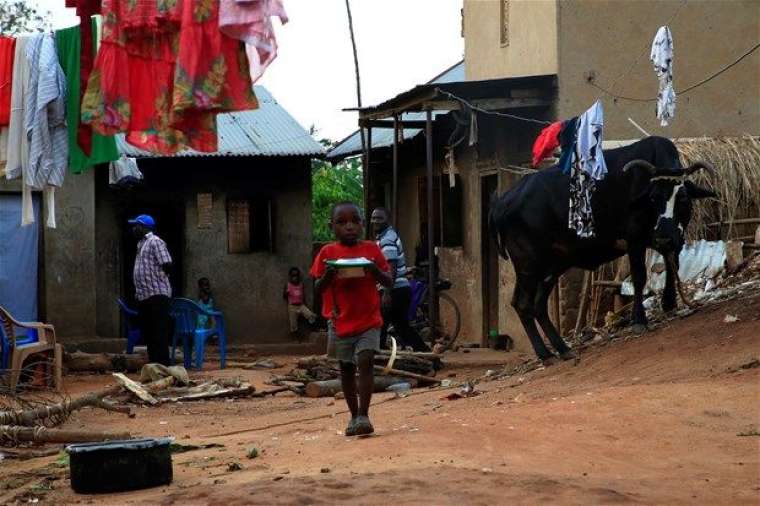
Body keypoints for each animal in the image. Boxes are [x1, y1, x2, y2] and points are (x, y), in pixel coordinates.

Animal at [490, 136, 716, 362]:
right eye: (654, 197)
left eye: (683, 198)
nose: (663, 237)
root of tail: (504, 201)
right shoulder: (634, 239)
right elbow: (639, 277)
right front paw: (639, 320)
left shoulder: (677, 237)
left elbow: (673, 264)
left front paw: (669, 302)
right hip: (528, 265)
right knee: (523, 304)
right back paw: (545, 353)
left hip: (552, 267)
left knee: (538, 305)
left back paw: (563, 349)